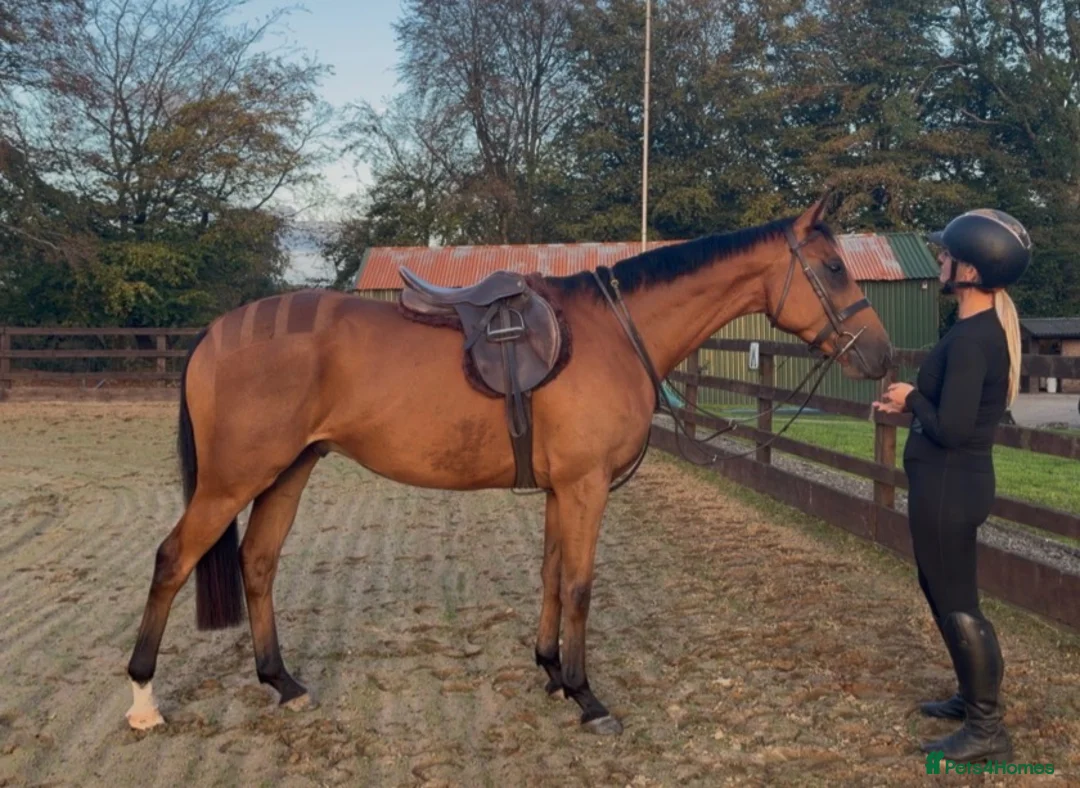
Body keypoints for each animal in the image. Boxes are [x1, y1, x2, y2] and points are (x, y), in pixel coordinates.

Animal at [123, 194, 894, 736]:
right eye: (832, 268)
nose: (882, 356)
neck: (614, 333)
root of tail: (215, 334)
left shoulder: (561, 490)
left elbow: (551, 576)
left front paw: (550, 671)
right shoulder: (586, 488)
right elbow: (579, 585)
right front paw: (587, 696)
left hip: (289, 471)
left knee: (257, 563)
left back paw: (281, 682)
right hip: (232, 482)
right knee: (171, 560)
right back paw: (142, 699)